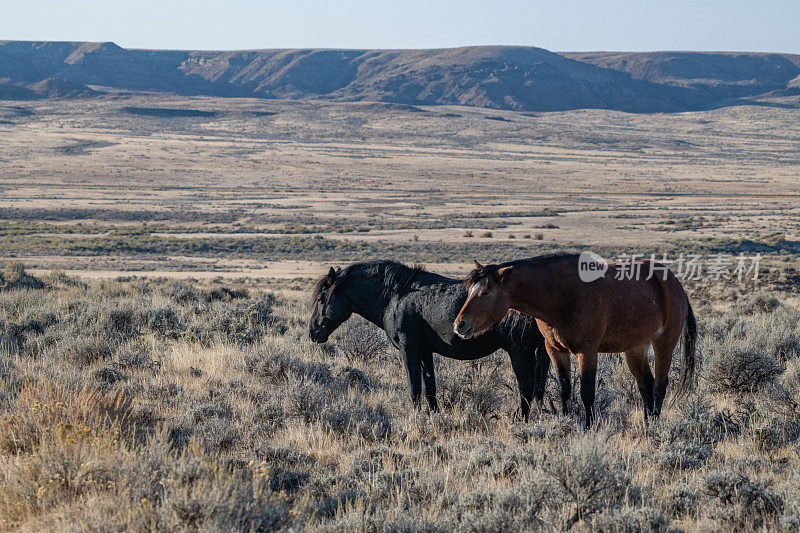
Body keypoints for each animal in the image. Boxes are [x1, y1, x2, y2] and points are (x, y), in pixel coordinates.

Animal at [306, 260, 552, 418]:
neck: (395, 296)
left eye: (321, 298)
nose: (313, 333)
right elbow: (430, 387)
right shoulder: (425, 351)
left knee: (526, 387)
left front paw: (417, 418)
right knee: (537, 388)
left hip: (519, 351)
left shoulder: (409, 350)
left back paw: (521, 420)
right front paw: (434, 417)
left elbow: (414, 387)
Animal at [454, 254, 696, 428]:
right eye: (470, 290)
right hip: (636, 347)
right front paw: (567, 422)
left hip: (664, 343)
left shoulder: (587, 351)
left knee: (660, 385)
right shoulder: (555, 350)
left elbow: (587, 392)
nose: (460, 325)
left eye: (486, 292)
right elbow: (565, 389)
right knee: (645, 383)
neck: (562, 294)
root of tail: (676, 285)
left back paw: (655, 425)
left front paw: (589, 427)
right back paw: (648, 423)